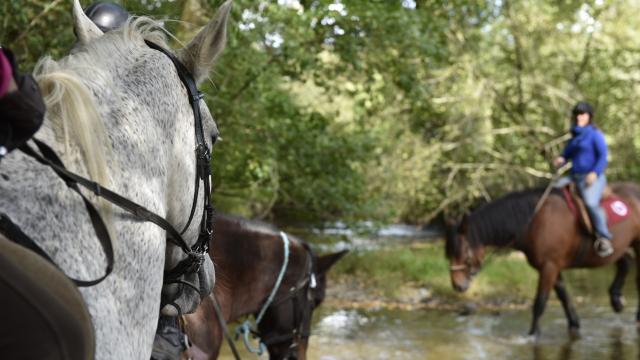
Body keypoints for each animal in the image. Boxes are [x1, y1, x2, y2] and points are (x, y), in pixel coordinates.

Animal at [448, 181, 640, 336]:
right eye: (448, 254)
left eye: (464, 253)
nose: (457, 285)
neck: (534, 222)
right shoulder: (553, 267)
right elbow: (564, 297)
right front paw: (574, 325)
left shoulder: (549, 267)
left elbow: (540, 302)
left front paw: (533, 334)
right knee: (625, 263)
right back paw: (617, 300)